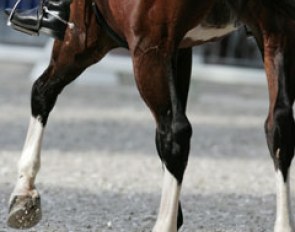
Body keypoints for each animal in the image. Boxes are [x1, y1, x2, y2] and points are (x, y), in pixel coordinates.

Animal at [5, 0, 295, 231]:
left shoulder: (85, 39)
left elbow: (42, 92)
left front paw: (23, 193)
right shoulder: (180, 49)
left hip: (141, 48)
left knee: (176, 135)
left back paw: (163, 224)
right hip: (274, 32)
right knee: (278, 126)